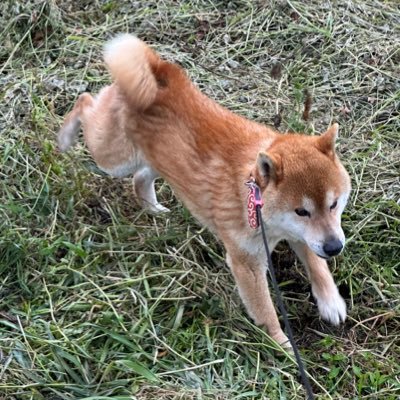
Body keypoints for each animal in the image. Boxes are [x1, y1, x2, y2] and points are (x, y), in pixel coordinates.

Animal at [100, 34, 350, 346]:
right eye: (301, 211)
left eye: (334, 204)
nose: (335, 247)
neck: (252, 197)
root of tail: (160, 70)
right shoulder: (247, 264)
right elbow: (265, 310)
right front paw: (281, 345)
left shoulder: (302, 235)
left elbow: (318, 266)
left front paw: (331, 301)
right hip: (115, 158)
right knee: (86, 106)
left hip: (158, 162)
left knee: (140, 178)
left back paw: (154, 209)